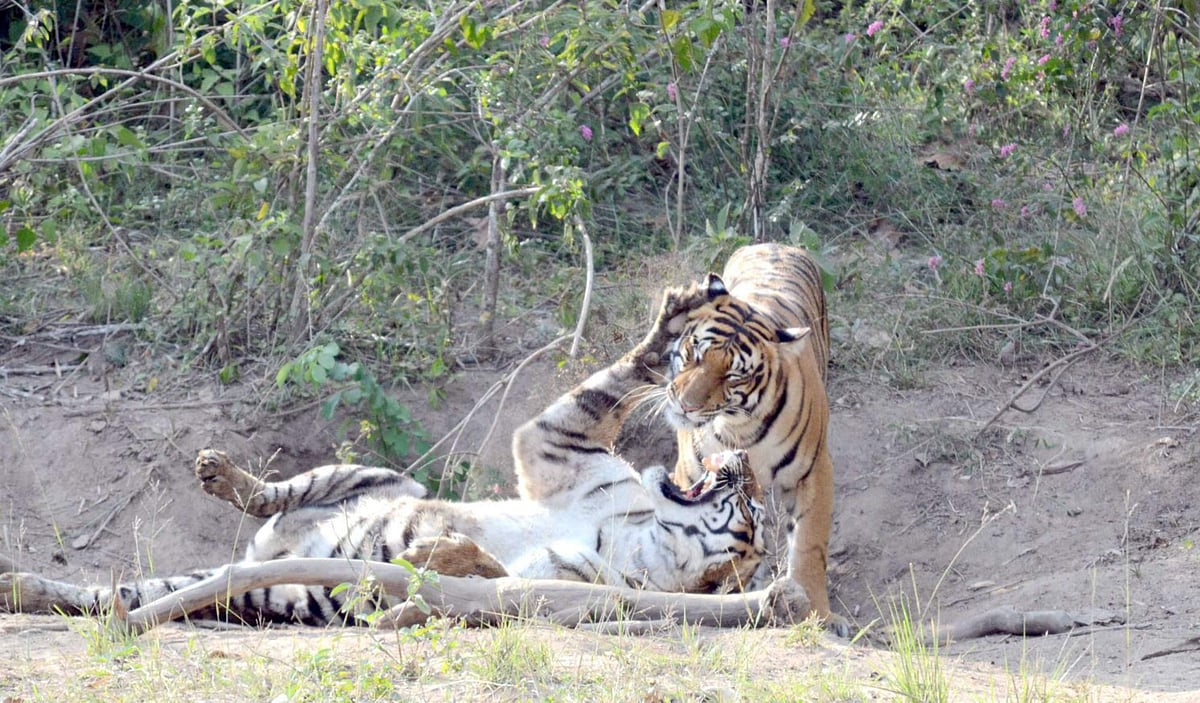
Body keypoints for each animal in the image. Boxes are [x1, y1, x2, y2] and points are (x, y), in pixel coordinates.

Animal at [0, 284, 766, 626]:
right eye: (751, 502)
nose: (745, 466)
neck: (637, 535)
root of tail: (265, 554)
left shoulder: (551, 586)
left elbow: (477, 571)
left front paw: (436, 553)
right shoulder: (558, 446)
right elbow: (609, 386)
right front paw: (680, 314)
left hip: (264, 589)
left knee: (117, 597)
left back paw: (22, 588)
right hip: (365, 473)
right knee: (272, 493)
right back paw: (216, 469)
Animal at [658, 243, 850, 636]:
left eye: (733, 376)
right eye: (695, 352)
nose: (685, 405)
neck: (738, 424)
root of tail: (773, 243)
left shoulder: (813, 472)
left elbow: (809, 547)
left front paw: (818, 615)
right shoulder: (691, 474)